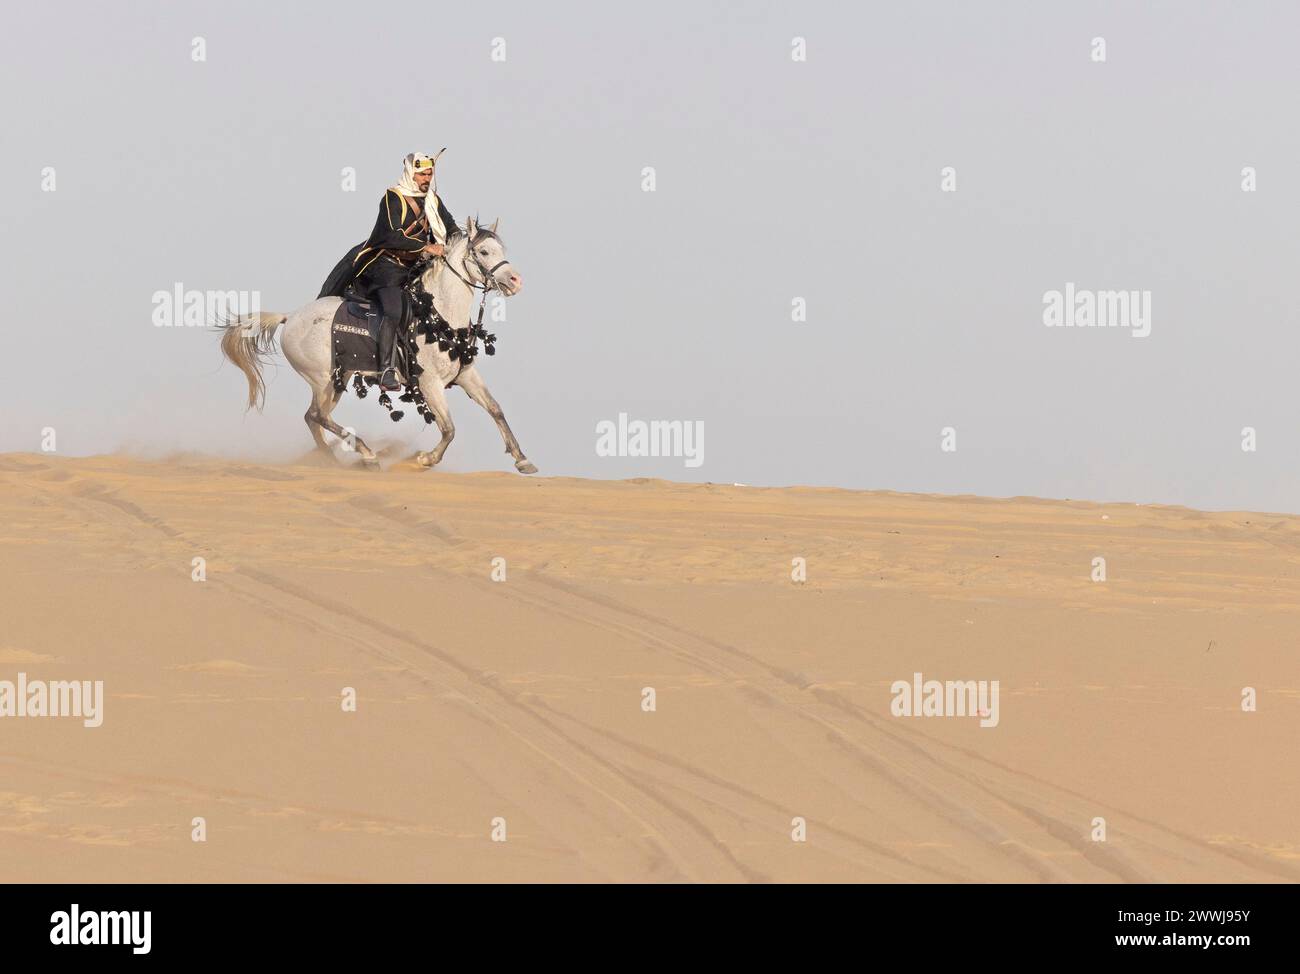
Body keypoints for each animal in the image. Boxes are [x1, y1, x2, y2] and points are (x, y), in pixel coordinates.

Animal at [220, 215, 535, 470]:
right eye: (483, 251)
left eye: (501, 250)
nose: (516, 281)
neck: (438, 313)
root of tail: (291, 317)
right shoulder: (429, 382)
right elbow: (449, 428)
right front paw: (426, 459)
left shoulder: (466, 374)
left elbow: (495, 409)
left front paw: (522, 458)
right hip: (323, 378)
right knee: (318, 416)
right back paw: (367, 454)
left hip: (338, 379)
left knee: (312, 418)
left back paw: (331, 459)